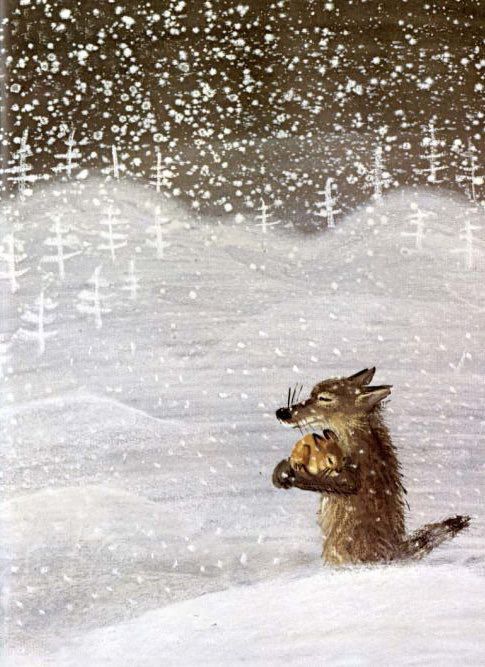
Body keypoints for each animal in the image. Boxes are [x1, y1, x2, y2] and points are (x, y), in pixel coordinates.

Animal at [272, 367, 470, 565]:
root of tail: (396, 552)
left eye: (324, 398)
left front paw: (288, 475)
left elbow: (326, 480)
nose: (282, 412)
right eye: (311, 394)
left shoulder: (353, 475)